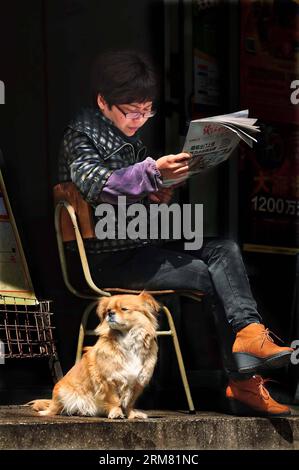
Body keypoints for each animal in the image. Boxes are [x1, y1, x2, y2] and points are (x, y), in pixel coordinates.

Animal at [29, 290, 161, 418]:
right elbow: (114, 400)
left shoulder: (137, 382)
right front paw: (116, 412)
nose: (110, 313)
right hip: (62, 393)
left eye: (124, 309)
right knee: (55, 409)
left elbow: (129, 402)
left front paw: (132, 415)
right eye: (108, 310)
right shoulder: (107, 380)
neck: (128, 341)